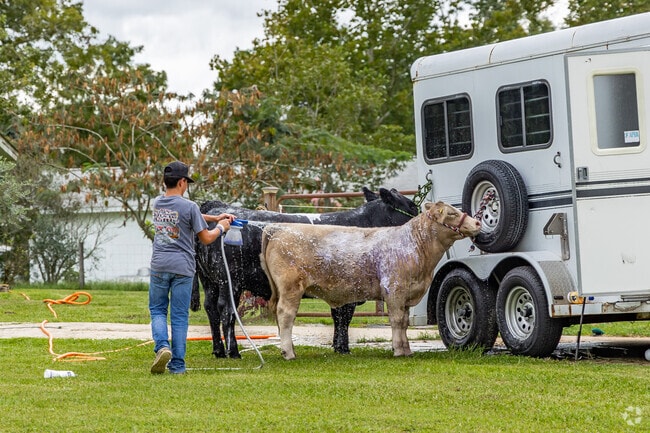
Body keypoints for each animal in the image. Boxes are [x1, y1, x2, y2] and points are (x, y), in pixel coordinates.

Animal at [193, 187, 419, 359]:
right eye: (411, 206)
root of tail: (217, 207)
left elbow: (338, 316)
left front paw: (338, 346)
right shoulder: (349, 286)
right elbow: (344, 316)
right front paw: (343, 348)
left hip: (210, 280)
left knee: (211, 308)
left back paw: (218, 351)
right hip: (229, 280)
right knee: (226, 310)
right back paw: (233, 352)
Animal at [259, 201, 481, 360]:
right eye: (451, 214)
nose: (478, 223)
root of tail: (278, 227)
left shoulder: (407, 294)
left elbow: (404, 322)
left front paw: (407, 349)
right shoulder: (394, 290)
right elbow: (397, 320)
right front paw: (398, 350)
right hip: (291, 288)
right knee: (286, 315)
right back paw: (289, 353)